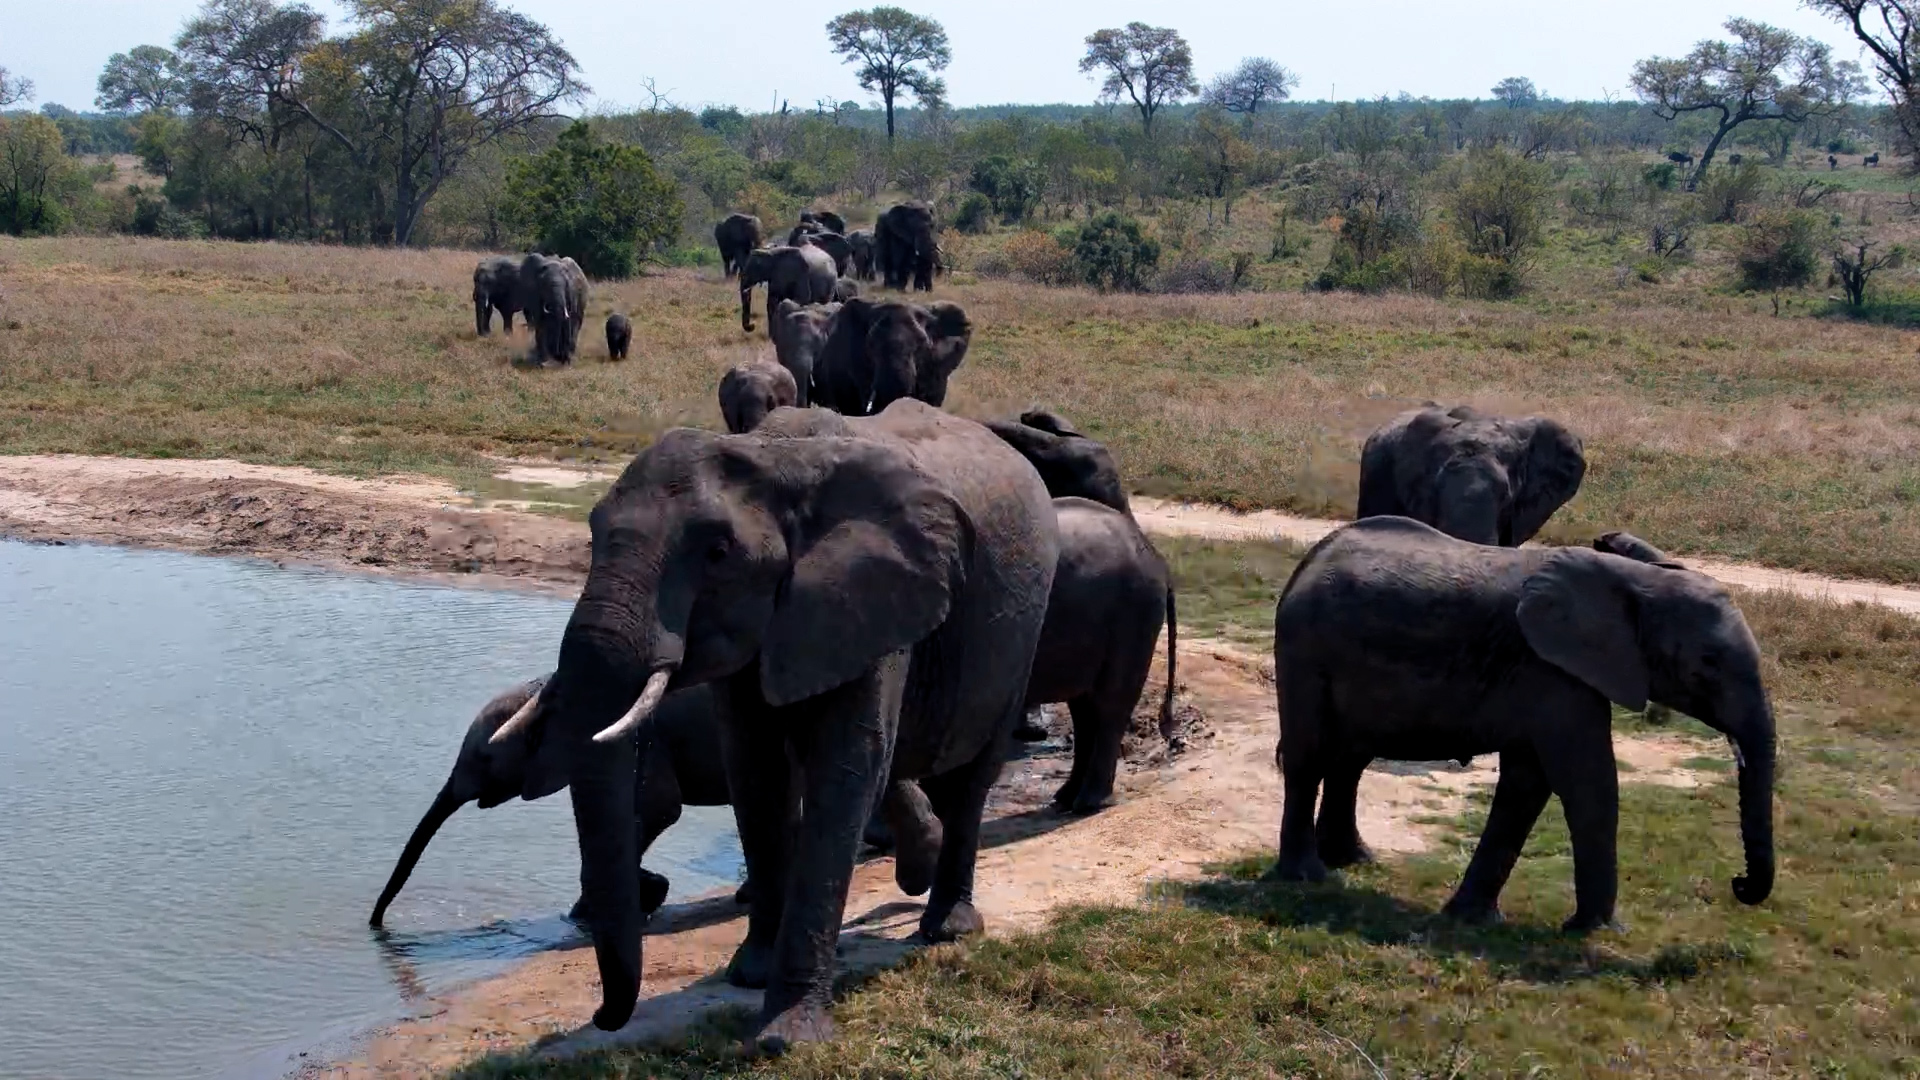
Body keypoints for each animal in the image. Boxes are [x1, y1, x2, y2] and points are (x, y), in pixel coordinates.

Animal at [368, 678, 738, 929]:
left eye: (484, 757)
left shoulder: (640, 739)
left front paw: (586, 917)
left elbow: (658, 808)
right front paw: (647, 894)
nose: (377, 925)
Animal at [488, 399, 1057, 1048]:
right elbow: (754, 771)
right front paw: (749, 976)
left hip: (1023, 629)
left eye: (716, 554)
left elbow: (845, 770)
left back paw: (949, 927)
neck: (771, 457)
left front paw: (787, 1035)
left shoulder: (869, 596)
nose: (604, 1018)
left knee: (970, 780)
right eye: (591, 535)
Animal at [1269, 517, 1776, 933]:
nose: (1738, 884)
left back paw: (1355, 861)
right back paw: (1306, 877)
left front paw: (1475, 919)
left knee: (1351, 759)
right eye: (1707, 664)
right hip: (1304, 649)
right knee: (1309, 757)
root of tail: (1311, 560)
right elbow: (1586, 783)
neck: (1635, 581)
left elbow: (1528, 784)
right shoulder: (1552, 670)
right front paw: (1594, 932)